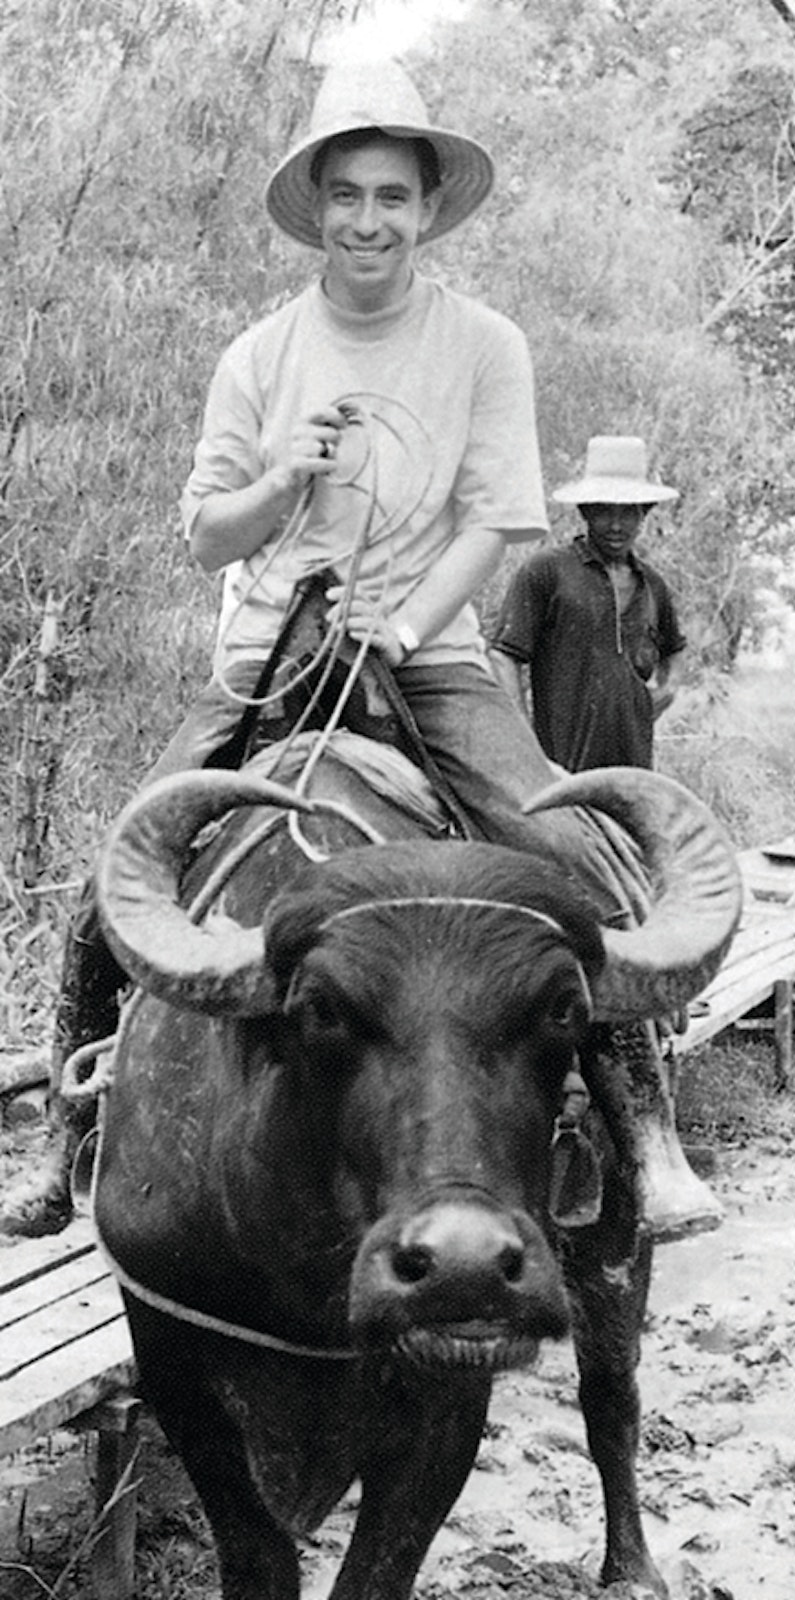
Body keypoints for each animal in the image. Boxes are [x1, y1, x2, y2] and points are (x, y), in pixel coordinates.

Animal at [91, 739, 739, 1600]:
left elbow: (380, 1568)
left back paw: (630, 1567)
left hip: (615, 1240)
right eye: (320, 1008)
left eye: (563, 1009)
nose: (462, 1266)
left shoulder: (450, 1392)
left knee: (611, 1397)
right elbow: (258, 1554)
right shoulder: (178, 1364)